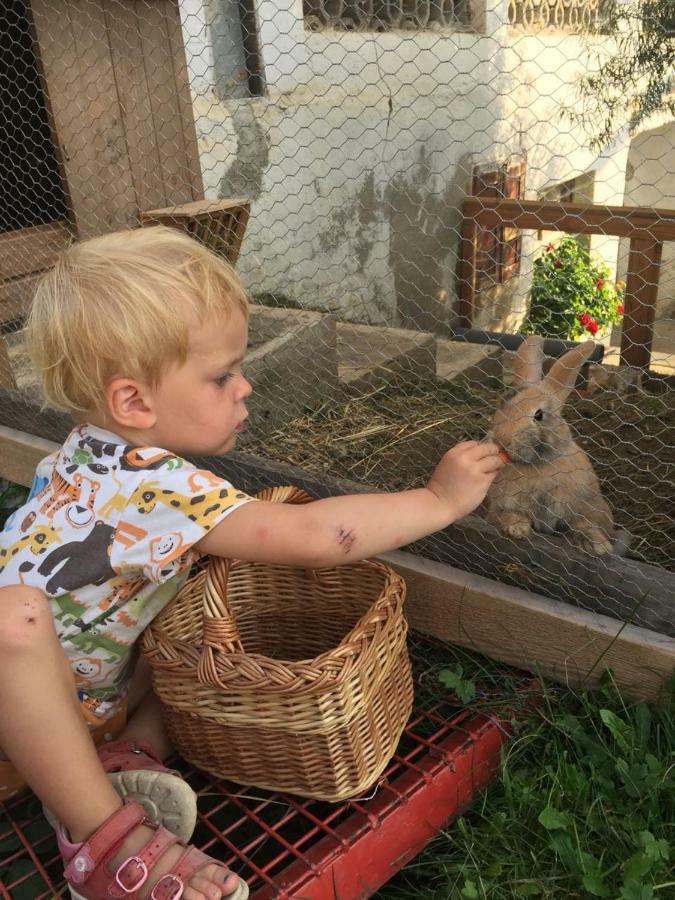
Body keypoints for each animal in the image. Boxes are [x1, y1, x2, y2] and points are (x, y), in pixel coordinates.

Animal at [488, 334, 616, 552]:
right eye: (504, 403)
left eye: (539, 415)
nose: (502, 440)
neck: (538, 465)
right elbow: (512, 514)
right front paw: (517, 529)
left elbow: (584, 524)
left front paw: (600, 546)